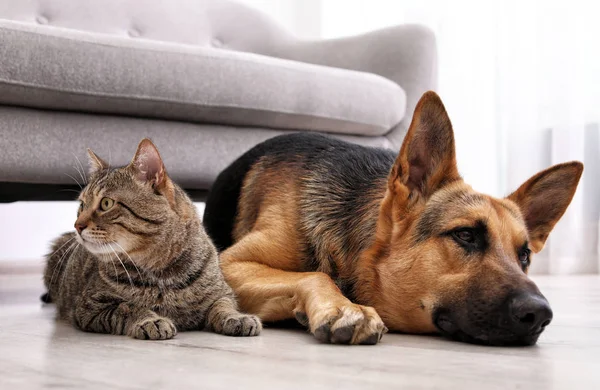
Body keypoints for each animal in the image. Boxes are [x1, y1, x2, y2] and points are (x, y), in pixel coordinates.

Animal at [39, 139, 260, 340]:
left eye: (106, 203)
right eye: (82, 205)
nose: (77, 225)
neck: (162, 273)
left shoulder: (222, 293)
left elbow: (223, 306)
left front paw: (237, 317)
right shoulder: (89, 307)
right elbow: (127, 308)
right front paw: (150, 320)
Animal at [204, 92, 584, 348]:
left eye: (525, 256)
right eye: (465, 235)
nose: (540, 314)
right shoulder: (230, 263)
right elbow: (314, 274)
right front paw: (345, 308)